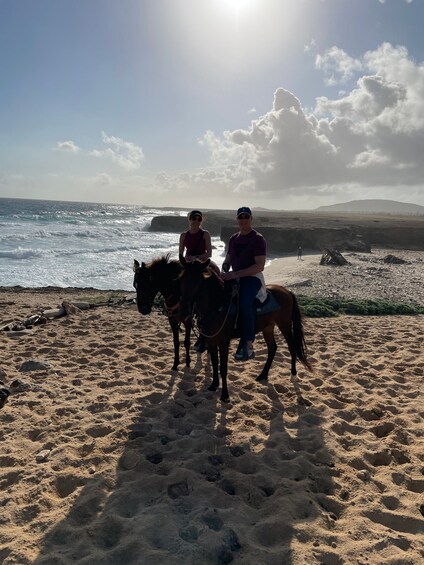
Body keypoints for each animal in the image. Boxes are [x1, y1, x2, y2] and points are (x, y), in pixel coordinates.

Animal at [179, 256, 312, 400]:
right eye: (181, 279)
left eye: (198, 281)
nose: (183, 311)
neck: (218, 305)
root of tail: (287, 291)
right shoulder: (211, 341)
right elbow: (214, 364)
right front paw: (214, 385)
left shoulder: (224, 341)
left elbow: (223, 367)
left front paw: (225, 395)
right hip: (268, 328)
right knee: (272, 348)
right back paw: (263, 375)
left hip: (284, 325)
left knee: (292, 347)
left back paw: (293, 374)